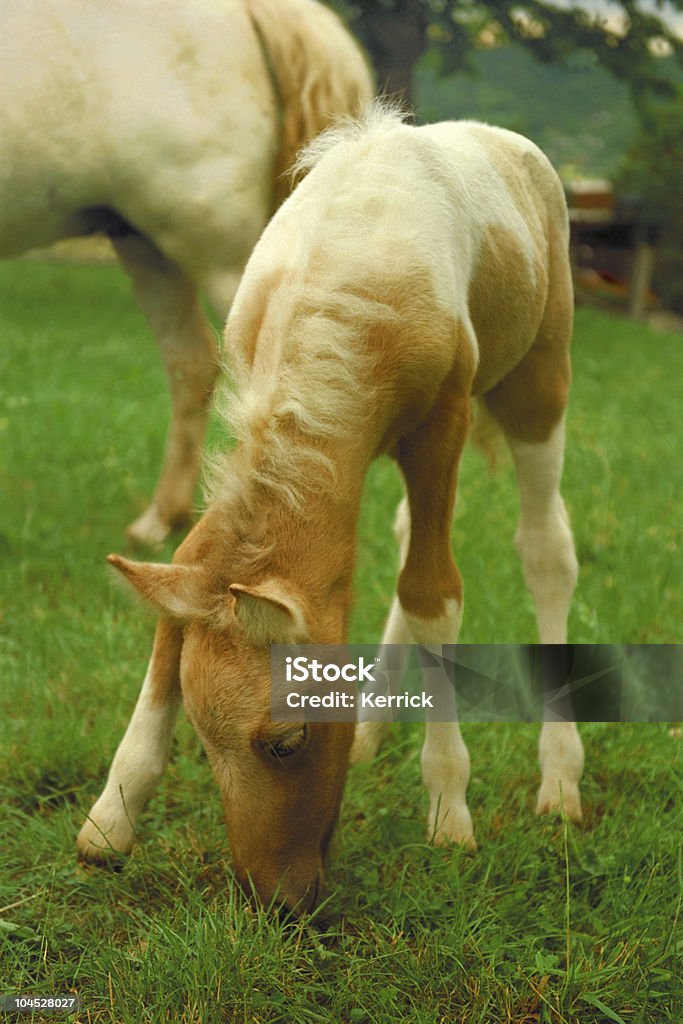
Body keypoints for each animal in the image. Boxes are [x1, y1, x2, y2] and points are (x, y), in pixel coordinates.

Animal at [78, 108, 581, 909]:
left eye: (286, 742)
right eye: (201, 741)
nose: (277, 900)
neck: (350, 276)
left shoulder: (441, 421)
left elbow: (434, 592)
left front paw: (449, 808)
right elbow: (189, 565)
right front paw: (109, 818)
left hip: (538, 377)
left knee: (544, 548)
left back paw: (560, 776)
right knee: (409, 534)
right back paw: (376, 727)